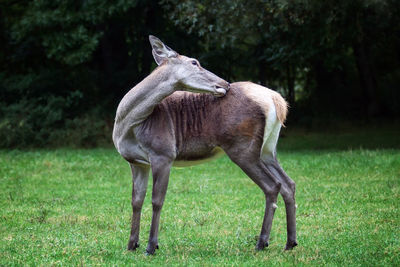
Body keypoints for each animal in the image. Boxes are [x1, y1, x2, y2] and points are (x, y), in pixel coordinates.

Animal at [112, 35, 296, 255]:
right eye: (194, 62)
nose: (225, 83)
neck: (129, 126)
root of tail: (277, 101)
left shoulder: (163, 153)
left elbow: (157, 200)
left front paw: (151, 246)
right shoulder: (136, 161)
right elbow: (136, 201)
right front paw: (131, 245)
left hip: (243, 148)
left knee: (272, 185)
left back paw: (262, 242)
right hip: (268, 149)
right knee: (288, 183)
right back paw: (290, 242)